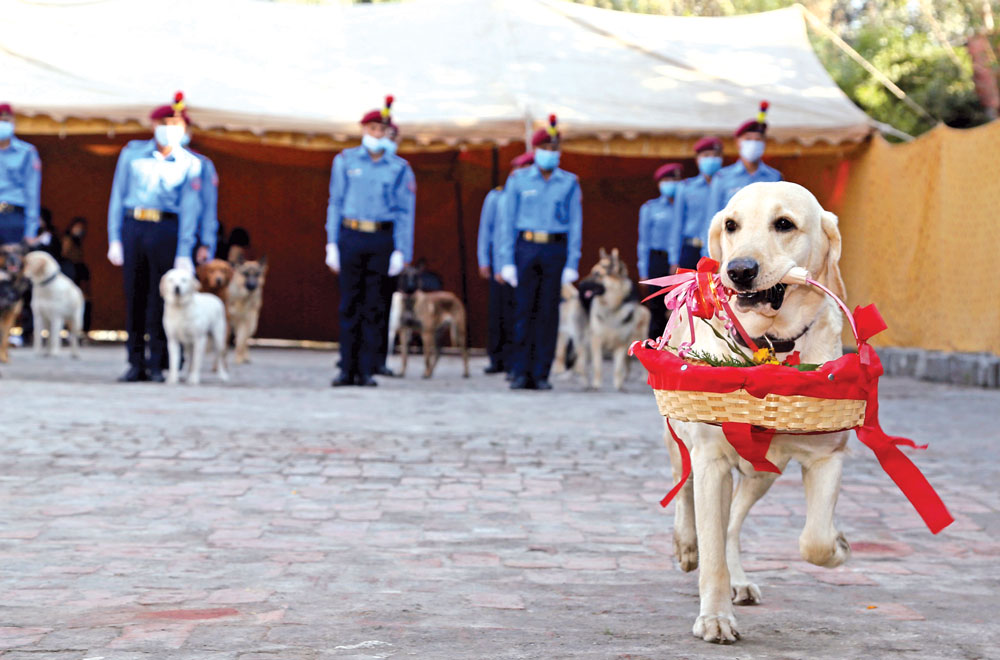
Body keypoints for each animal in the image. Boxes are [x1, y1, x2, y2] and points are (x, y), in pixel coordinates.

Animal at [572, 248, 648, 392]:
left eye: (597, 273)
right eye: (592, 271)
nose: (581, 285)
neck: (612, 306)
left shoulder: (622, 343)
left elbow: (618, 368)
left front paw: (619, 387)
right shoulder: (596, 341)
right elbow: (598, 366)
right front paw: (596, 385)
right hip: (584, 341)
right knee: (581, 364)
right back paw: (585, 382)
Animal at [668, 182, 848, 644]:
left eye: (784, 223)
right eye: (731, 225)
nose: (739, 270)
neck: (772, 345)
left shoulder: (827, 454)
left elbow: (815, 541)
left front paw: (838, 545)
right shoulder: (711, 460)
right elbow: (711, 549)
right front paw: (715, 617)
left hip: (764, 472)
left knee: (732, 523)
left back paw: (739, 577)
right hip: (680, 438)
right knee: (685, 490)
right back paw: (686, 545)